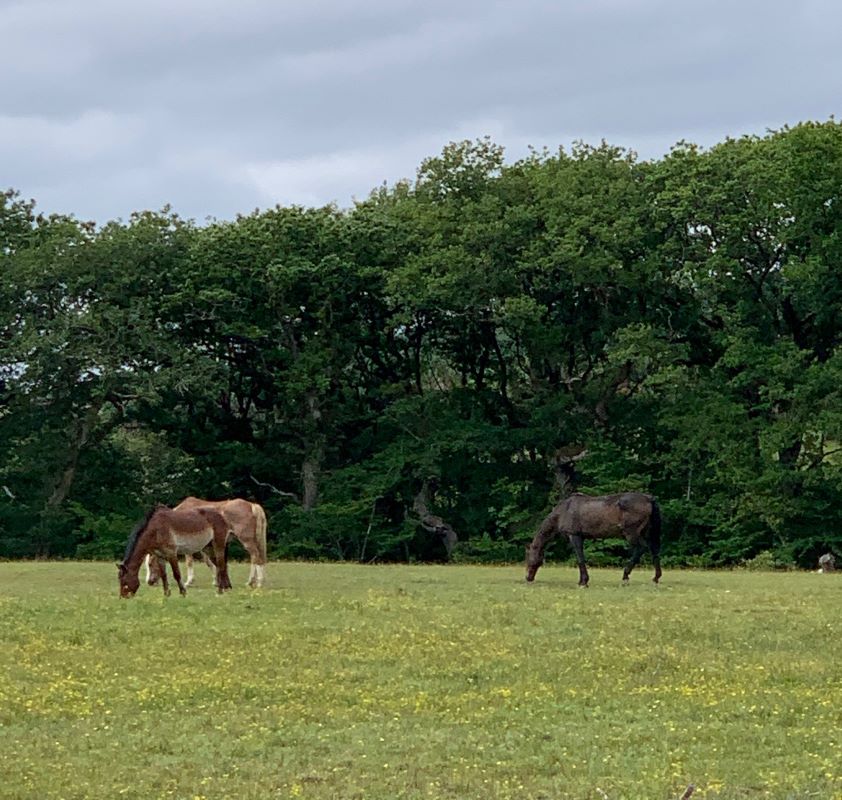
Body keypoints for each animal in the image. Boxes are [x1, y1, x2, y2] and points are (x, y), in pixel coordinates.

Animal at [524, 490, 656, 584]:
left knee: (642, 548)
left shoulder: (575, 536)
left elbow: (580, 558)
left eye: (528, 558)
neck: (563, 511)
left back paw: (625, 575)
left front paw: (583, 581)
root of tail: (648, 498)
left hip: (632, 534)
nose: (528, 578)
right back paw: (656, 578)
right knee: (654, 551)